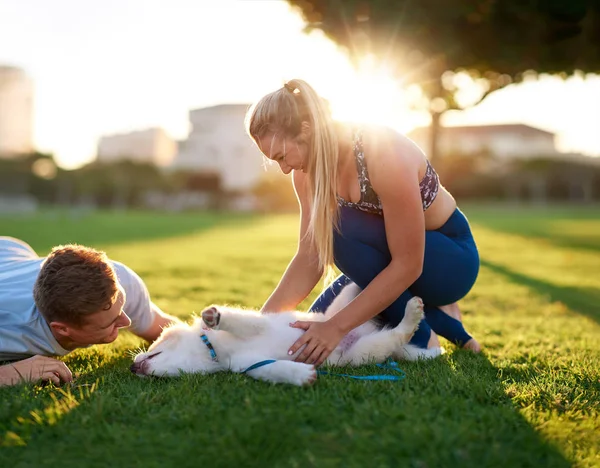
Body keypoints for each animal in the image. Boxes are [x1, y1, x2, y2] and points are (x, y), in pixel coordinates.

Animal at [131, 282, 440, 384]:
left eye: (155, 345)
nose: (132, 368)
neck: (213, 351)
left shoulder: (258, 325)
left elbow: (237, 321)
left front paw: (215, 316)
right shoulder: (249, 364)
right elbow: (273, 369)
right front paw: (301, 376)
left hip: (342, 313)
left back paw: (411, 309)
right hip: (364, 351)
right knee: (396, 336)